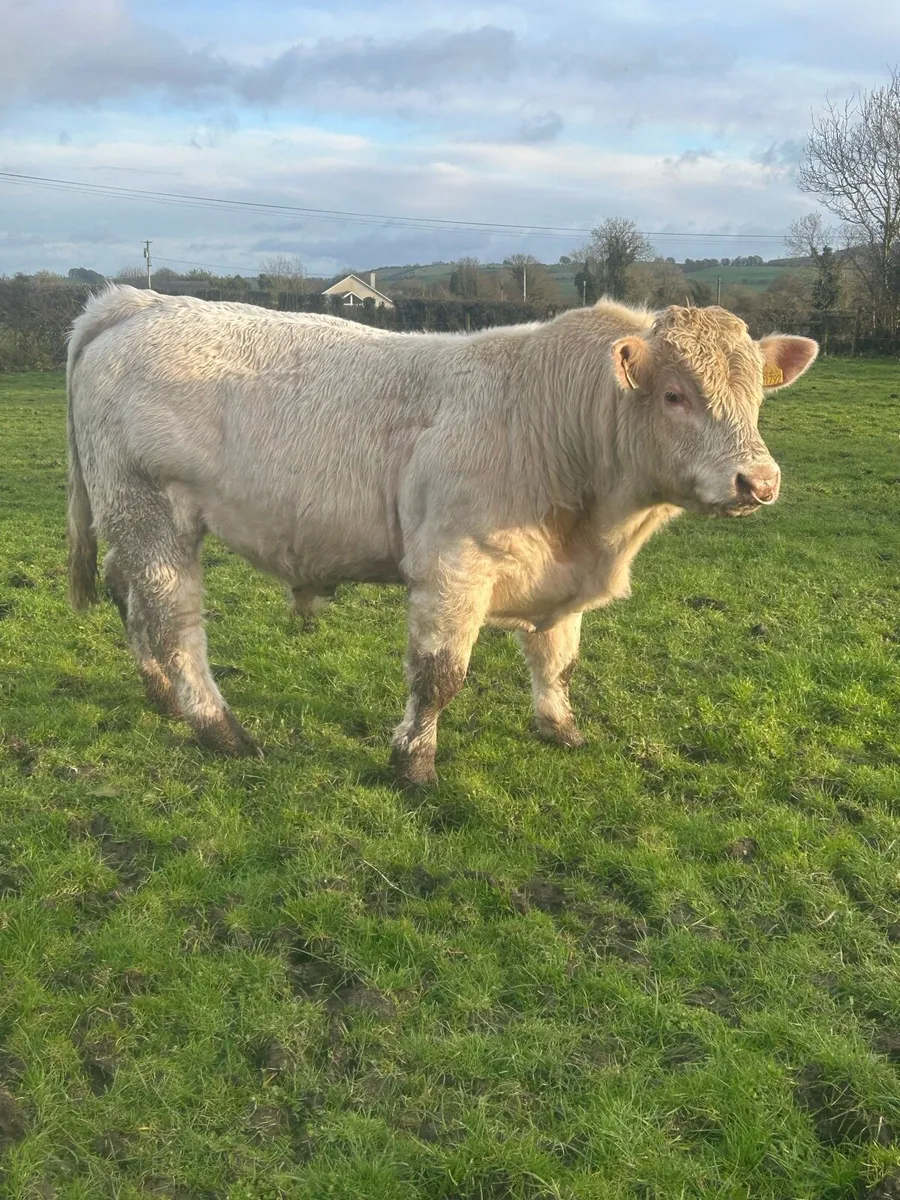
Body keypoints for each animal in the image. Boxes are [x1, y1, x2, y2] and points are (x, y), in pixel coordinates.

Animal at [66, 286, 818, 784]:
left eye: (758, 394)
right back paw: (219, 728)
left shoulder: (559, 577)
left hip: (127, 519)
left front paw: (560, 728)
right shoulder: (453, 566)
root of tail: (139, 301)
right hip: (151, 512)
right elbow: (439, 677)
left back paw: (161, 696)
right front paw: (415, 765)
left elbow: (557, 660)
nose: (759, 481)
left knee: (131, 600)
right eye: (674, 395)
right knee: (174, 621)